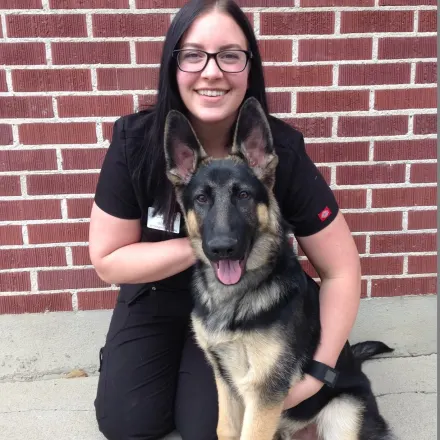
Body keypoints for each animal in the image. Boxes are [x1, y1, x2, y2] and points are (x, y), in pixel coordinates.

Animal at [164, 97, 396, 440]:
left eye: (243, 195)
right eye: (202, 199)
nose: (222, 248)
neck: (235, 299)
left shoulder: (263, 393)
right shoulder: (226, 382)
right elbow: (225, 429)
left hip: (342, 414)